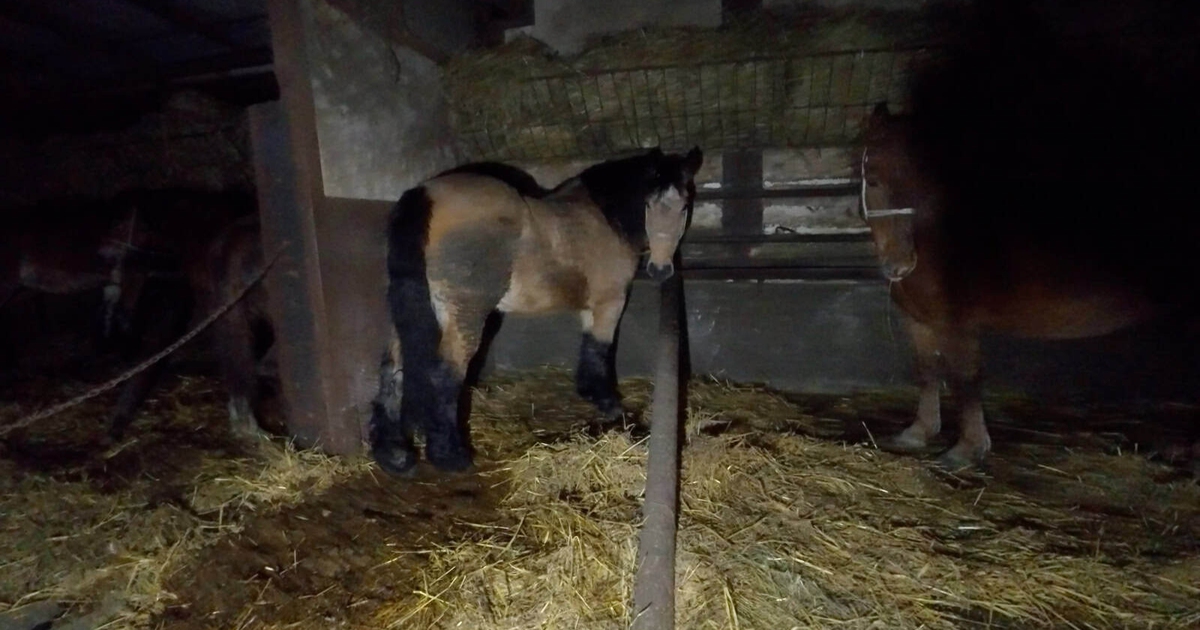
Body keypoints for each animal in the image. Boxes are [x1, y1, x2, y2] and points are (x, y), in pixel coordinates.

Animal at [369, 147, 704, 475]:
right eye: (648, 205)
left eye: (683, 207)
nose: (661, 270)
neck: (602, 219)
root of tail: (425, 194)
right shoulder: (610, 302)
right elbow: (599, 357)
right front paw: (618, 412)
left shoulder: (589, 309)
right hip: (464, 315)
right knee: (444, 374)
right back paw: (451, 457)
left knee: (393, 370)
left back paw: (395, 456)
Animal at [860, 102, 1200, 471]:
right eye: (873, 180)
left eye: (924, 182)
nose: (900, 265)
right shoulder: (919, 322)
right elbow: (927, 371)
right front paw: (919, 432)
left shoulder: (958, 324)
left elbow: (967, 379)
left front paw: (967, 449)